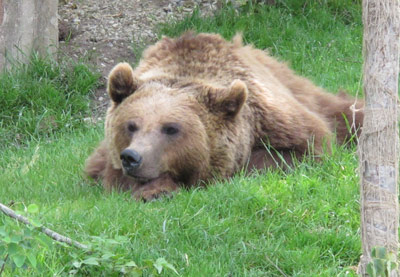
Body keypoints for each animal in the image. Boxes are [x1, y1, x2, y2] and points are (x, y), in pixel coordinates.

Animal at [86, 32, 364, 199]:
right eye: (131, 125)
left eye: (171, 128)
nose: (132, 157)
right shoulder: (104, 157)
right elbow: (106, 174)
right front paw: (152, 188)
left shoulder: (279, 123)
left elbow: (296, 151)